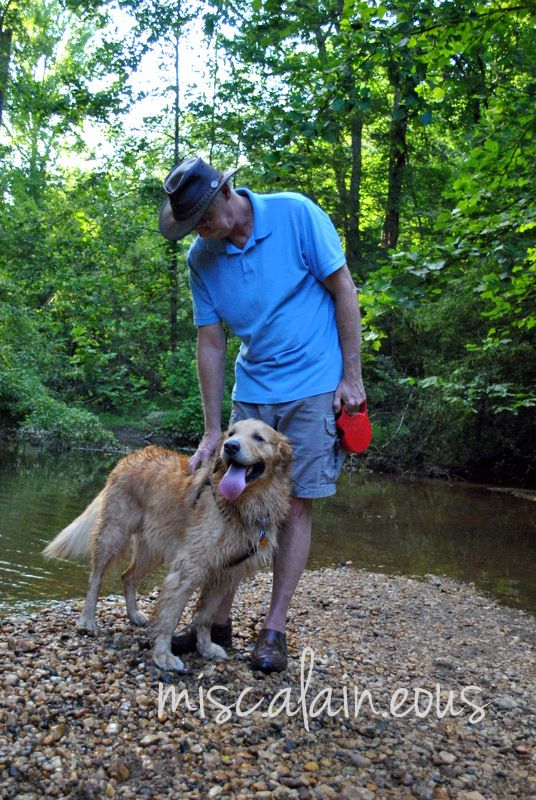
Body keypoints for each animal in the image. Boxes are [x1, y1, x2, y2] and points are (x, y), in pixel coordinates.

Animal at [42, 422, 292, 672]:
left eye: (258, 438)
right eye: (231, 434)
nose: (230, 447)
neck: (241, 505)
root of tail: (133, 454)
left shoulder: (225, 573)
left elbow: (205, 617)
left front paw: (205, 646)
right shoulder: (189, 568)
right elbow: (170, 617)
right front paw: (163, 654)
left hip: (152, 549)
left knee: (128, 576)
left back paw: (133, 614)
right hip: (114, 534)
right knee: (96, 577)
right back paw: (87, 620)